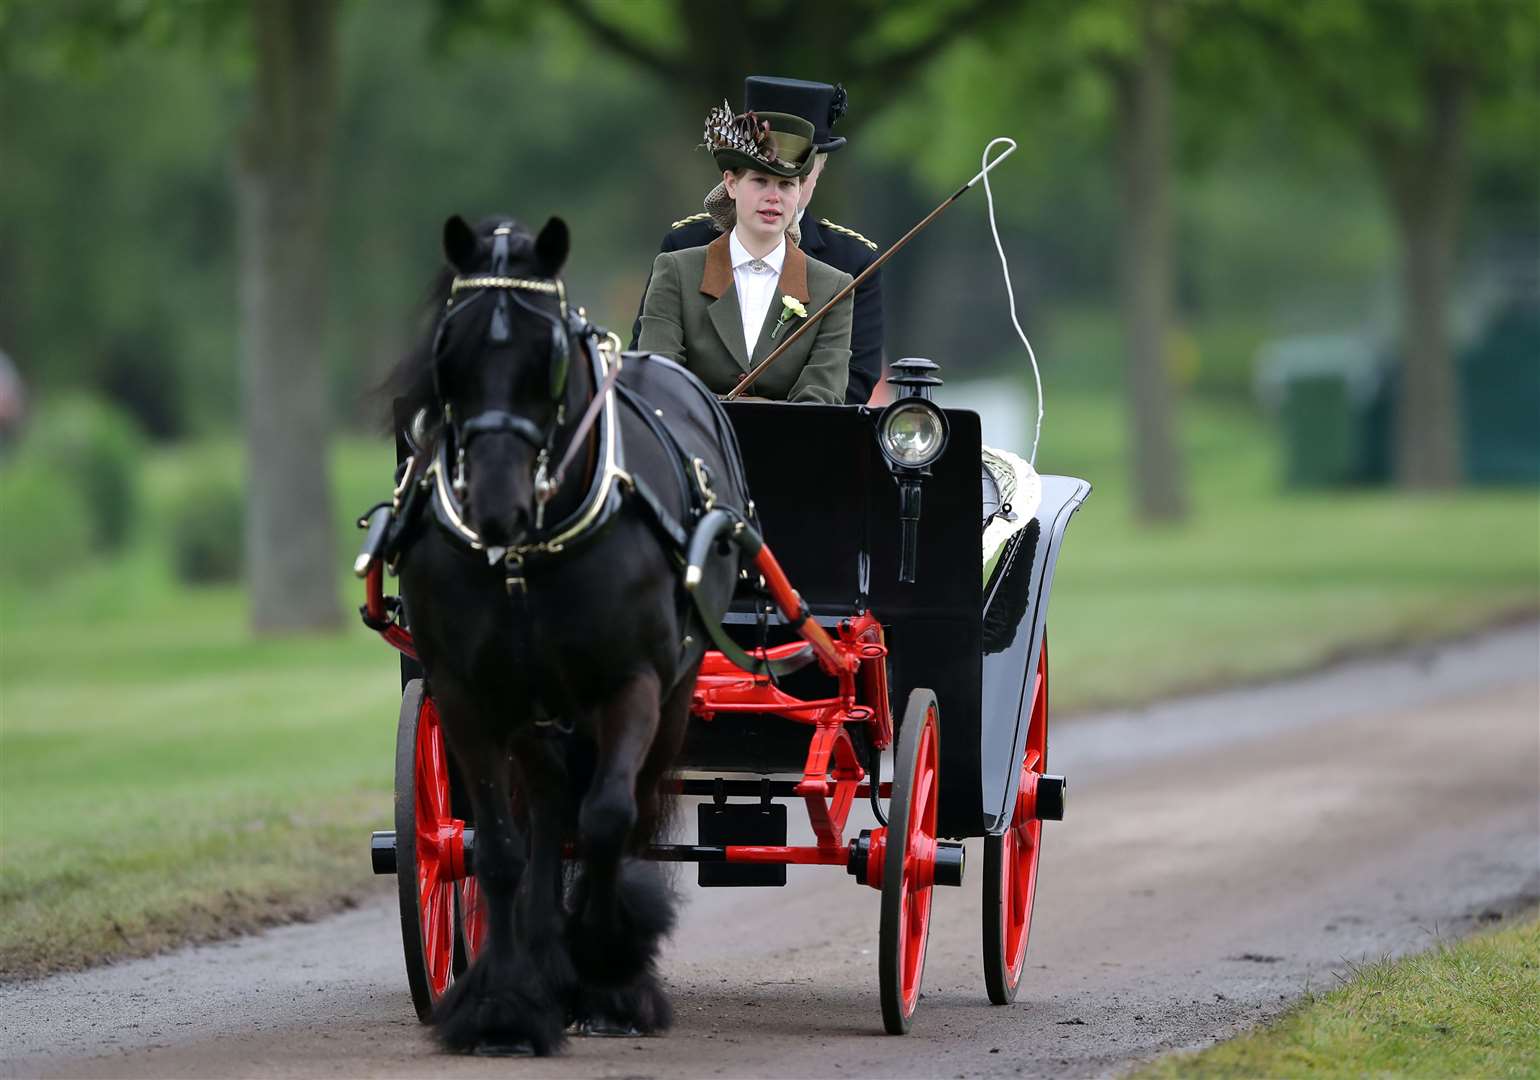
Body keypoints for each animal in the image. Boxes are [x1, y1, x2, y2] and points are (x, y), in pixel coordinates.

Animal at [391, 217, 751, 1053]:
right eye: (448, 352)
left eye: (549, 357)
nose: (497, 506)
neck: (530, 551)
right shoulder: (466, 692)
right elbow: (498, 846)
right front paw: (502, 1005)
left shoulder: (633, 683)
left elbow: (610, 817)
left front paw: (609, 971)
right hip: (537, 706)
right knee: (551, 802)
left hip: (670, 692)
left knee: (625, 808)